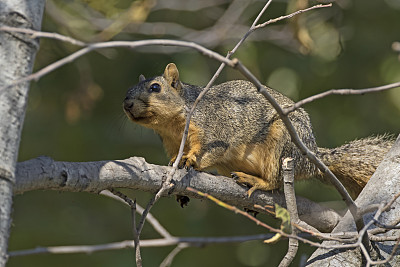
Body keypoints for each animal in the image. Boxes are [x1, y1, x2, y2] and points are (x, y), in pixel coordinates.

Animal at [123, 63, 396, 199]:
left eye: (155, 87)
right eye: (128, 89)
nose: (126, 104)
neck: (173, 126)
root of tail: (313, 158)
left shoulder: (215, 128)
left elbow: (211, 149)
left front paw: (191, 160)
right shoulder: (171, 142)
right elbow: (175, 155)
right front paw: (176, 162)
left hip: (283, 145)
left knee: (275, 182)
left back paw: (256, 181)